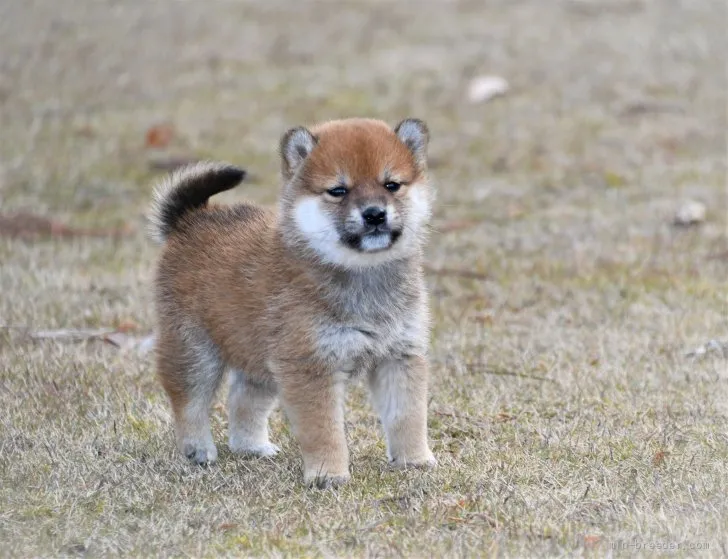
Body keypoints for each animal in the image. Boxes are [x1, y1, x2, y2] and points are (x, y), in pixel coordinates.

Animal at [148, 117, 432, 486]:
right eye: (338, 190)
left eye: (392, 184)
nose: (374, 214)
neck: (361, 274)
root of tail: (189, 219)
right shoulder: (309, 365)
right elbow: (324, 430)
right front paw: (329, 474)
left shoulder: (400, 355)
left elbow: (407, 416)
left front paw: (414, 460)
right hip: (194, 350)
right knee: (188, 402)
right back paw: (197, 450)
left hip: (259, 355)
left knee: (243, 399)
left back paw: (252, 447)